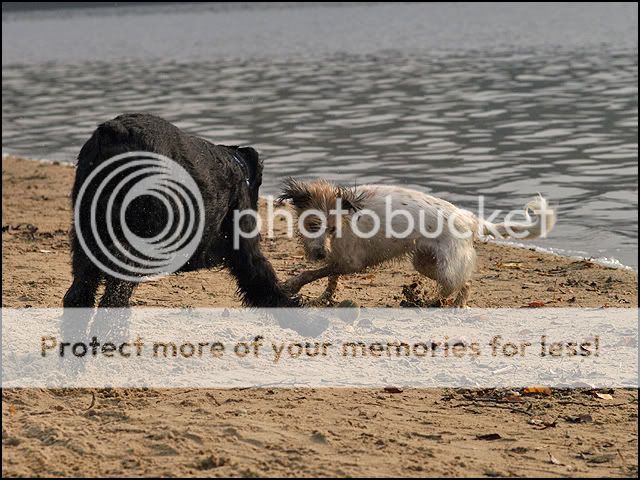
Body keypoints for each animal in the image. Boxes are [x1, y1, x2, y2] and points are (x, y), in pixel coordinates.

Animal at [63, 113, 299, 320]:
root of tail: (116, 132)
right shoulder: (244, 251)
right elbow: (264, 282)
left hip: (88, 239)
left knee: (78, 296)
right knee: (113, 300)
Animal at [278, 178, 556, 307]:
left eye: (332, 228)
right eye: (312, 225)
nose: (319, 253)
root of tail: (468, 217)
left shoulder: (350, 262)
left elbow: (315, 273)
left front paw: (293, 284)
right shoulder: (339, 258)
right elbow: (329, 278)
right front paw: (324, 296)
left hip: (448, 267)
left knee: (461, 284)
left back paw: (444, 303)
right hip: (424, 262)